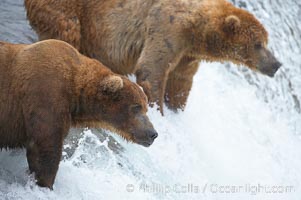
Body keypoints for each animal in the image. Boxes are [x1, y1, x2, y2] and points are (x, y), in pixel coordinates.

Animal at [0, 39, 158, 189]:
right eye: (136, 107)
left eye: (145, 108)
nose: (153, 133)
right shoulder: (45, 98)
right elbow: (45, 149)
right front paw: (45, 183)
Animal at [24, 0, 280, 114]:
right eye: (258, 44)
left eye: (266, 42)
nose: (276, 64)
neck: (198, 30)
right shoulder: (167, 27)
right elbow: (152, 70)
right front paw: (158, 108)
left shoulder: (187, 54)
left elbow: (181, 82)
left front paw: (176, 107)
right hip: (68, 10)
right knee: (67, 32)